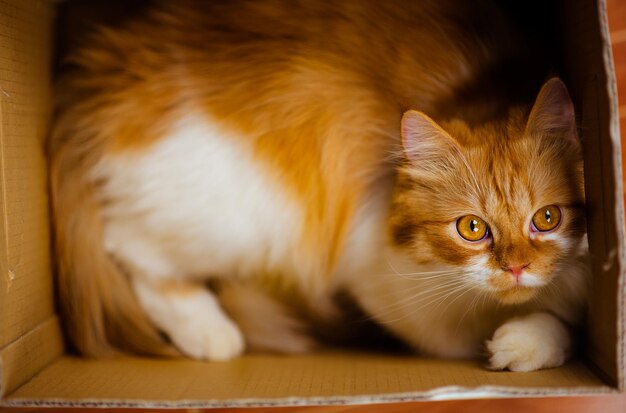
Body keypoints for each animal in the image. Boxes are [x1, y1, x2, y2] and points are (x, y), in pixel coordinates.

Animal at [51, 0, 588, 372]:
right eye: (472, 228)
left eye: (547, 218)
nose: (516, 268)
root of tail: (99, 75)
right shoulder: (388, 286)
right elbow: (473, 333)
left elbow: (561, 319)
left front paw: (525, 342)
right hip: (232, 221)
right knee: (132, 251)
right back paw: (214, 335)